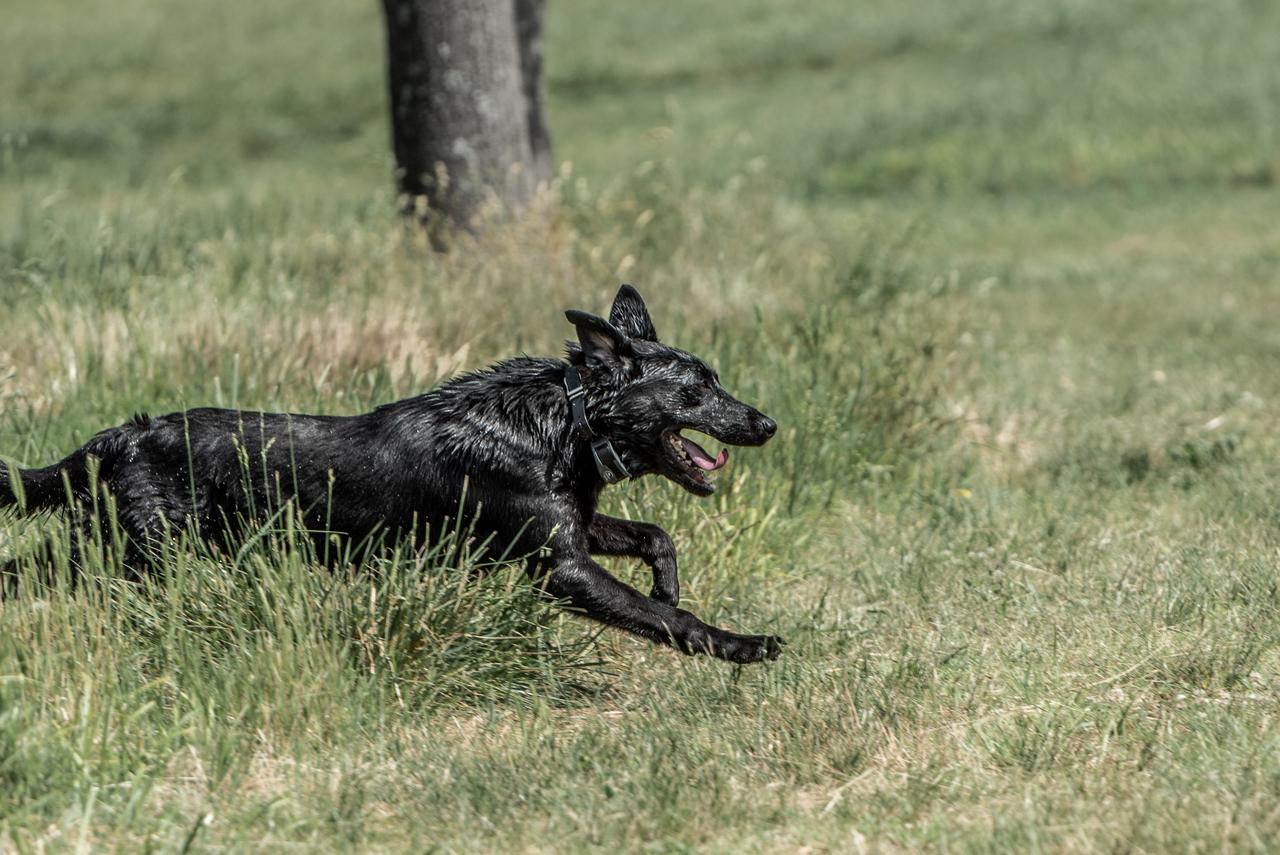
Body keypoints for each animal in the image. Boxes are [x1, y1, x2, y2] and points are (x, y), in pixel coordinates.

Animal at [0, 284, 783, 665]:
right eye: (697, 390)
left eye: (715, 379)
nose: (768, 423)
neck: (560, 424)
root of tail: (120, 437)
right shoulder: (560, 566)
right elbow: (664, 620)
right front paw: (741, 646)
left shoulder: (570, 528)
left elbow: (655, 536)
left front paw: (668, 581)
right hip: (135, 552)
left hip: (107, 546)